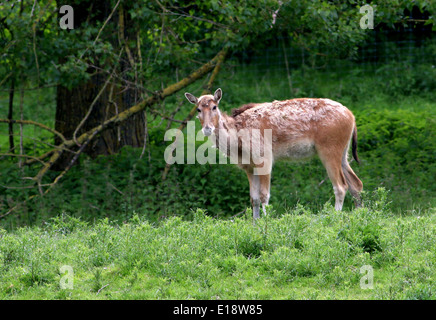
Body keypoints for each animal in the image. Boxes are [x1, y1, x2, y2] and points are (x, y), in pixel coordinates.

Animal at [185, 87, 364, 219]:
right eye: (198, 109)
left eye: (214, 107)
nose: (207, 128)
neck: (238, 141)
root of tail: (352, 117)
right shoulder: (248, 166)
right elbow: (254, 198)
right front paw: (255, 224)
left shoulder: (264, 156)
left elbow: (264, 195)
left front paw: (267, 223)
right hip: (344, 152)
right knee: (356, 183)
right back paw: (359, 215)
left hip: (329, 148)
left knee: (340, 186)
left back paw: (335, 217)